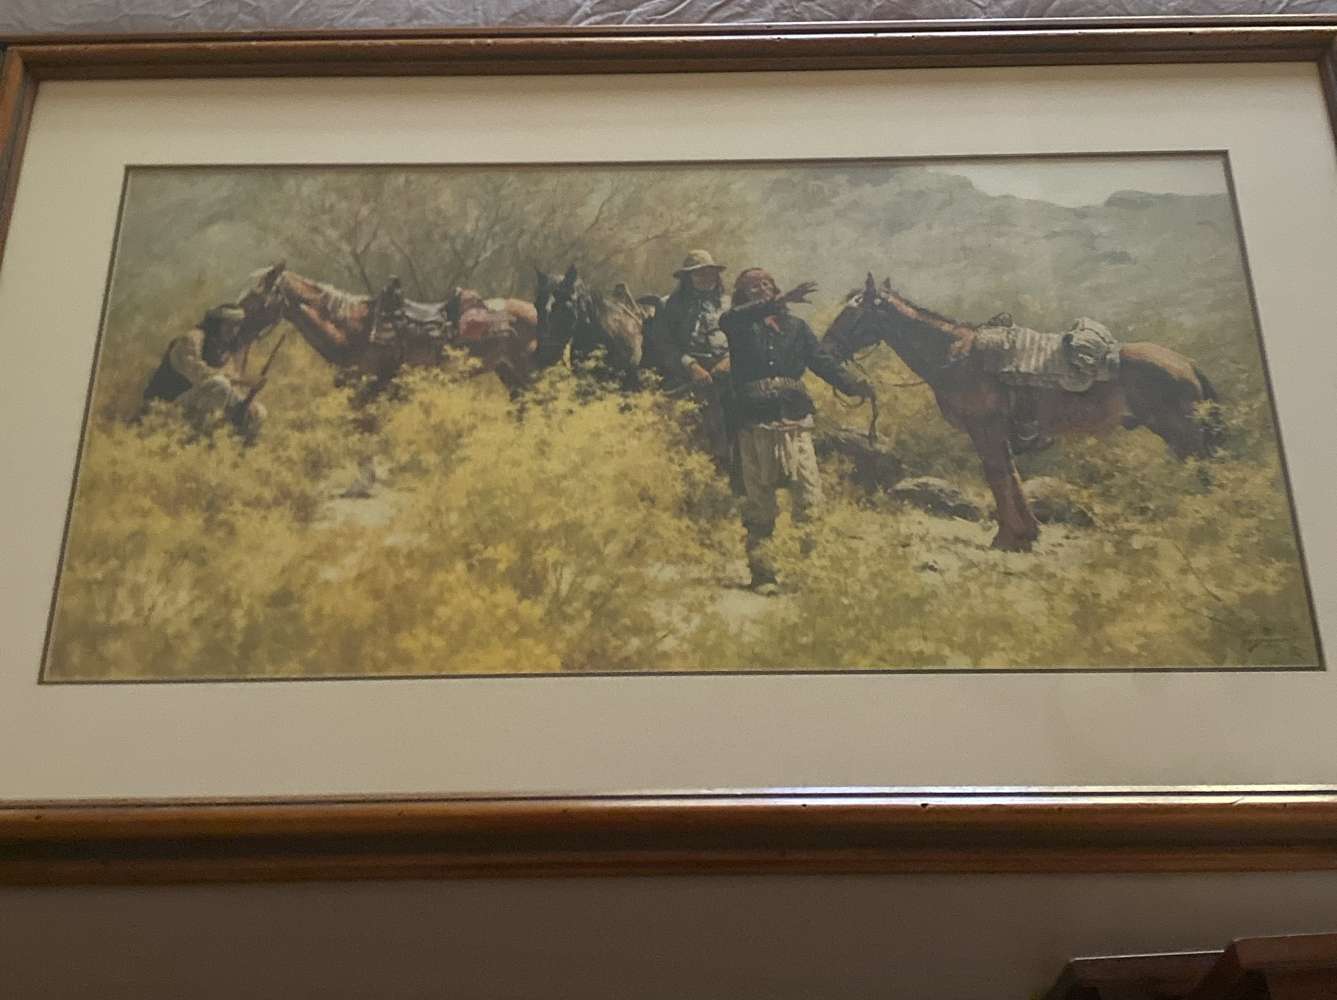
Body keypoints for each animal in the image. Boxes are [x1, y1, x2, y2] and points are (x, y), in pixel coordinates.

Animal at [823, 274, 1221, 552]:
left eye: (851, 311)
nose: (825, 349)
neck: (956, 354)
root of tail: (1187, 363)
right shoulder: (998, 432)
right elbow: (1010, 476)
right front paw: (1025, 533)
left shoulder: (985, 429)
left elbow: (998, 476)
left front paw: (1009, 536)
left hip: (1184, 438)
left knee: (1205, 476)